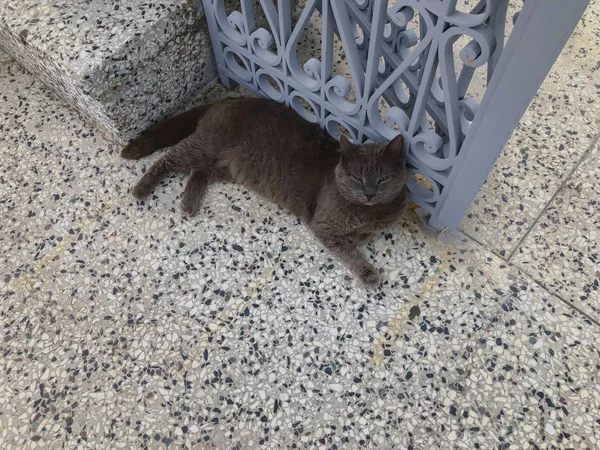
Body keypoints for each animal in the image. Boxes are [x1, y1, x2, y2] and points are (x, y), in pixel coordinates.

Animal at [124, 97, 410, 286]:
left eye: (383, 178)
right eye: (356, 178)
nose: (370, 193)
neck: (368, 213)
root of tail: (227, 99)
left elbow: (363, 236)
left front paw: (359, 237)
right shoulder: (323, 224)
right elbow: (348, 251)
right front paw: (368, 272)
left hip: (232, 168)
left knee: (200, 171)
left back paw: (189, 202)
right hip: (208, 145)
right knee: (169, 158)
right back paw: (142, 188)